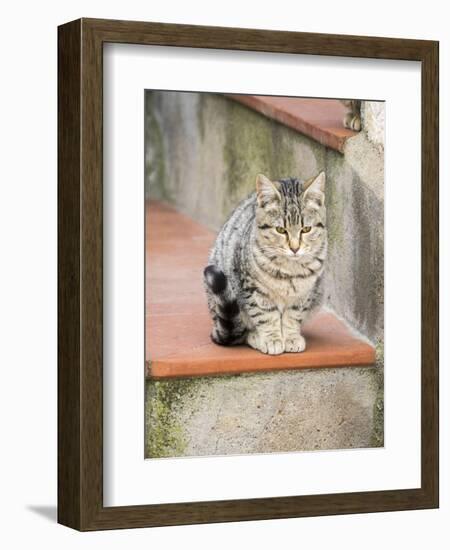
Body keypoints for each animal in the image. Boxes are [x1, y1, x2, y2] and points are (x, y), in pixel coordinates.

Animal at [204, 172, 326, 358]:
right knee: (241, 330)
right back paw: (255, 337)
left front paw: (291, 337)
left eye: (306, 229)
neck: (290, 270)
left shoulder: (305, 293)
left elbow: (293, 316)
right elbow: (266, 316)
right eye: (280, 230)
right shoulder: (254, 289)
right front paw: (272, 339)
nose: (295, 248)